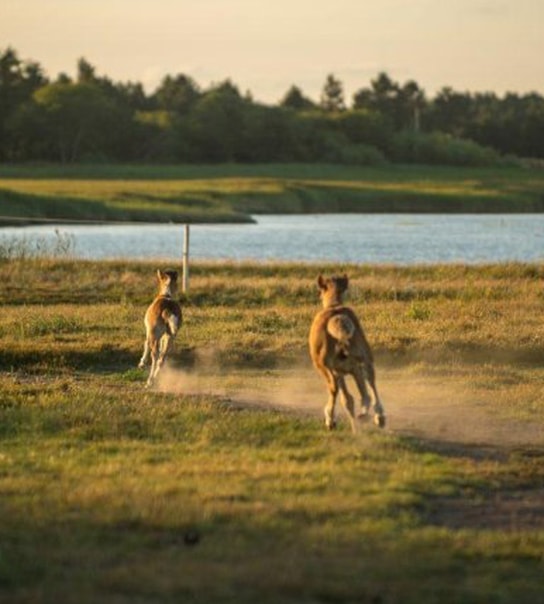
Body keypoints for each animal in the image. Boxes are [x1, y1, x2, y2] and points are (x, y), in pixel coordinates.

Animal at [308, 274, 384, 434]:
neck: (333, 304)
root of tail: (337, 318)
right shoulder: (351, 368)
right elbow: (358, 395)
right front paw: (362, 416)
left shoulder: (337, 371)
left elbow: (346, 397)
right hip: (365, 356)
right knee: (371, 380)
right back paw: (378, 417)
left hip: (324, 366)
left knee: (333, 389)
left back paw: (331, 420)